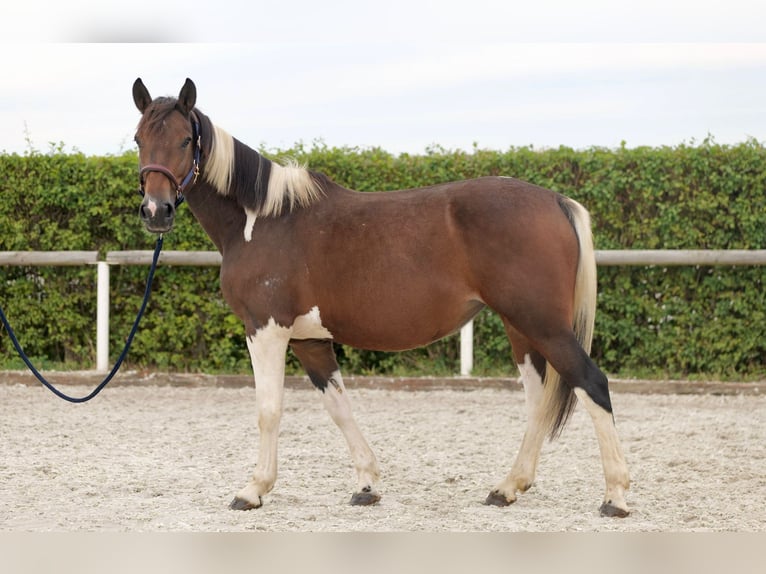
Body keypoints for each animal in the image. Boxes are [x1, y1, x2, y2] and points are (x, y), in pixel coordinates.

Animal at [132, 77, 632, 516]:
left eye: (184, 140)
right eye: (138, 139)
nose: (157, 211)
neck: (262, 220)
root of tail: (557, 202)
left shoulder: (265, 331)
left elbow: (268, 411)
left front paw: (253, 490)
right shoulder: (310, 340)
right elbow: (338, 406)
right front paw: (367, 485)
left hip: (543, 325)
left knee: (592, 384)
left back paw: (615, 497)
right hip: (521, 329)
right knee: (538, 399)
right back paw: (508, 488)